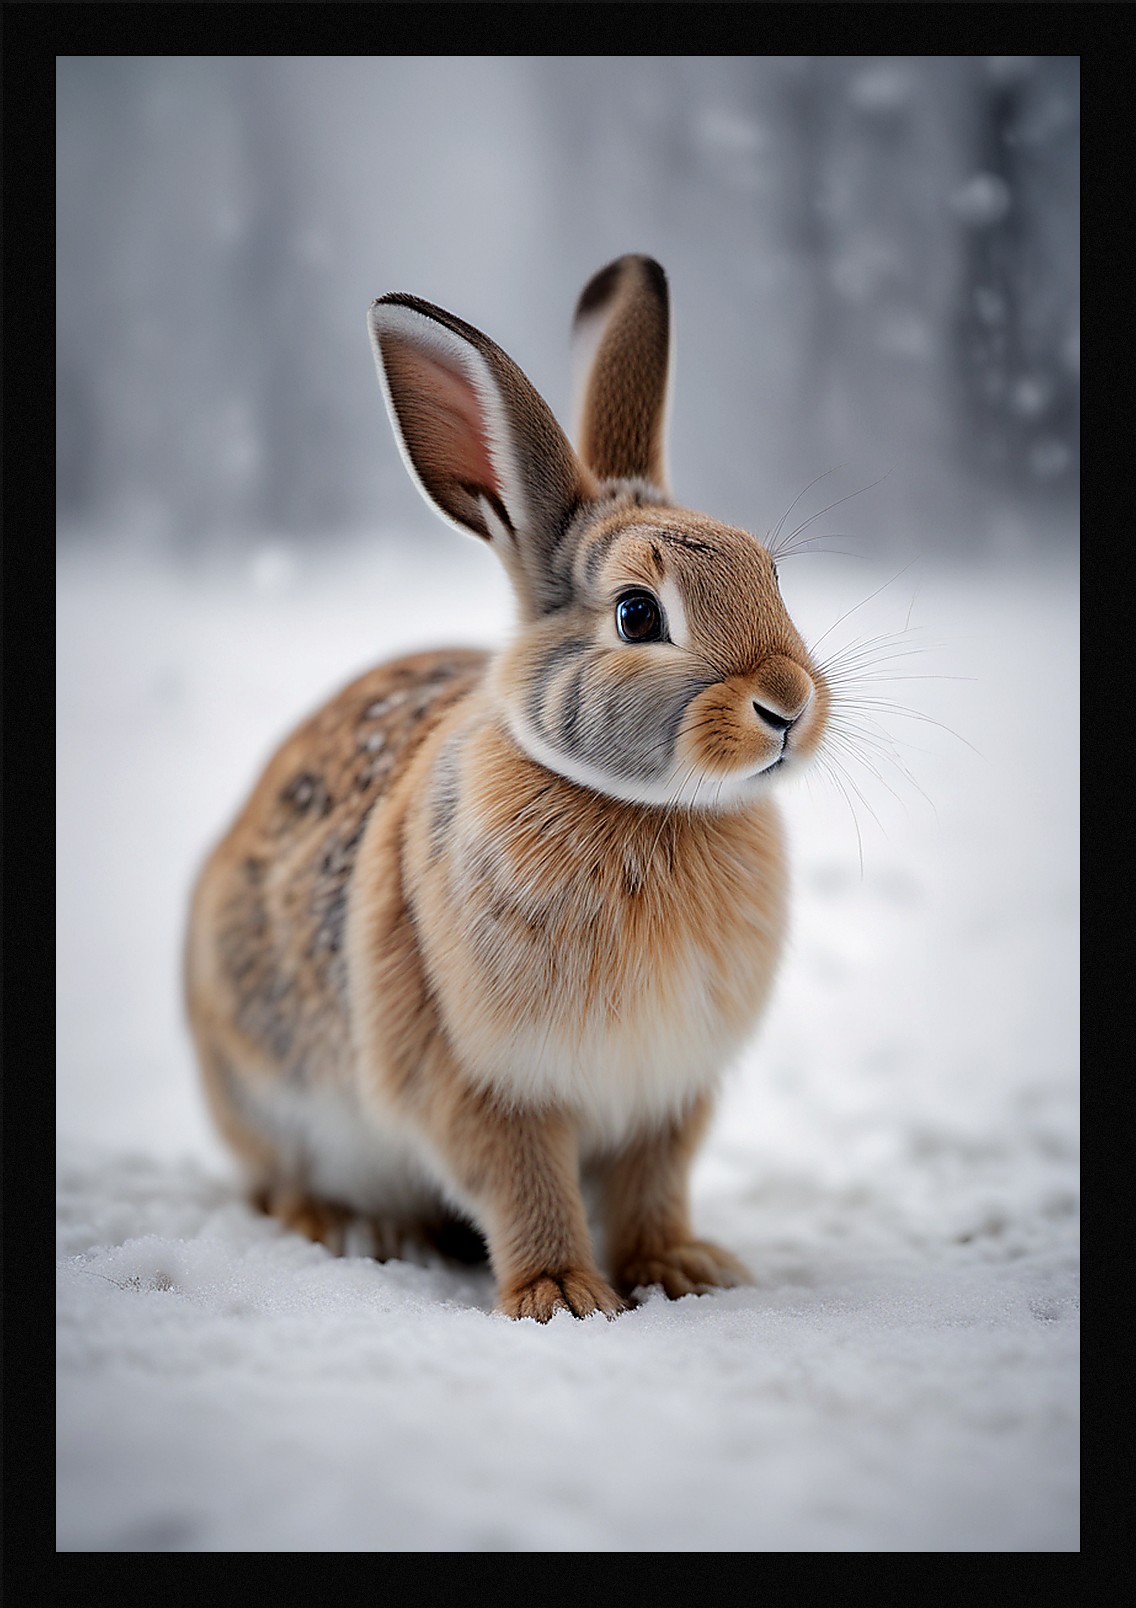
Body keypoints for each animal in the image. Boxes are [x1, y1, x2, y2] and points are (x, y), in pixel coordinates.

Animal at [185, 254, 830, 1322]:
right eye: (638, 614)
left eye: (769, 575)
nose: (789, 704)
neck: (645, 810)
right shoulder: (483, 1084)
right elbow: (525, 1186)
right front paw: (564, 1297)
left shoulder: (667, 1096)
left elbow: (653, 1187)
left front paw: (683, 1271)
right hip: (266, 1086)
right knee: (276, 1183)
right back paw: (351, 1228)